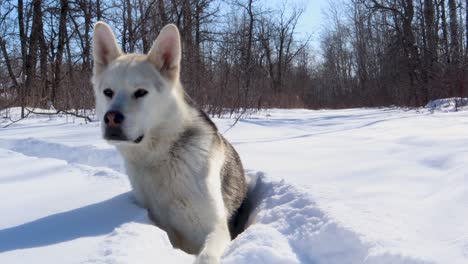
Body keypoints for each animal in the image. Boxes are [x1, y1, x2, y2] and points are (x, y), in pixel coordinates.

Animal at [89, 21, 247, 262]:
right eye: (108, 92)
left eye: (141, 92)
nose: (111, 117)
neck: (161, 158)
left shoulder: (216, 229)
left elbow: (206, 256)